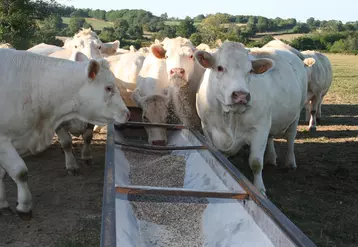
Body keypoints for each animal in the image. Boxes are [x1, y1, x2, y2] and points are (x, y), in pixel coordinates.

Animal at [0, 49, 130, 219]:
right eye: (108, 88)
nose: (127, 114)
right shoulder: (3, 141)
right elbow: (20, 172)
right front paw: (24, 206)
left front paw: (2, 203)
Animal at [194, 41, 314, 194]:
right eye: (220, 67)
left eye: (250, 70)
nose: (241, 95)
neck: (231, 117)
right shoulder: (207, 128)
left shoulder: (259, 128)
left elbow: (256, 162)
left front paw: (259, 188)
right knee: (271, 137)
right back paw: (271, 158)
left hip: (296, 113)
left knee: (291, 138)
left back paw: (290, 162)